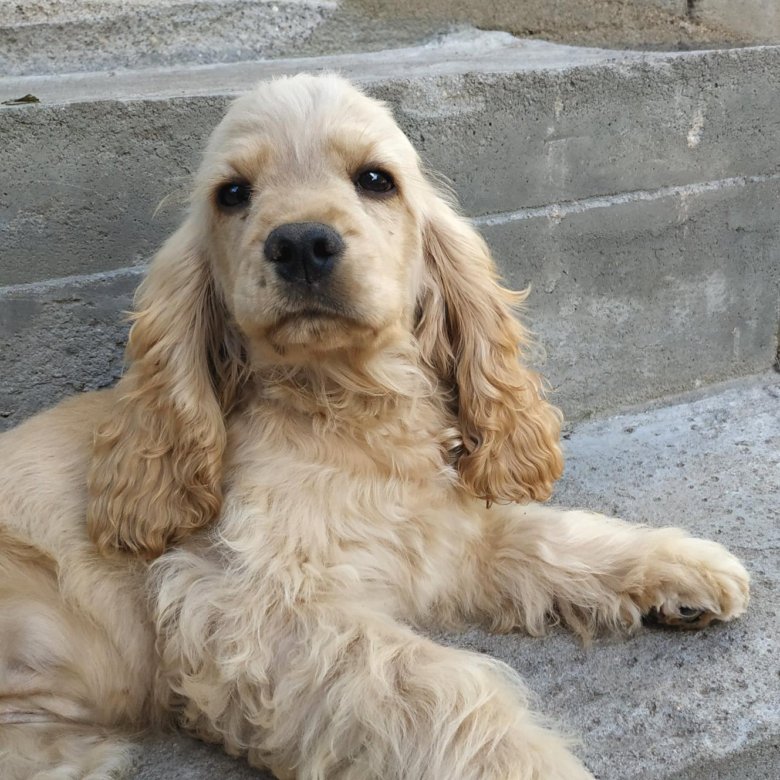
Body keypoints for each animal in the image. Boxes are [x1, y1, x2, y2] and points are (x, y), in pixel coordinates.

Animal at [0, 74, 749, 779]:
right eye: (233, 193)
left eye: (374, 180)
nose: (301, 242)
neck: (351, 409)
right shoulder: (244, 603)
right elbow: (435, 684)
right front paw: (531, 766)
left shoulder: (445, 542)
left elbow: (553, 536)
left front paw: (683, 569)